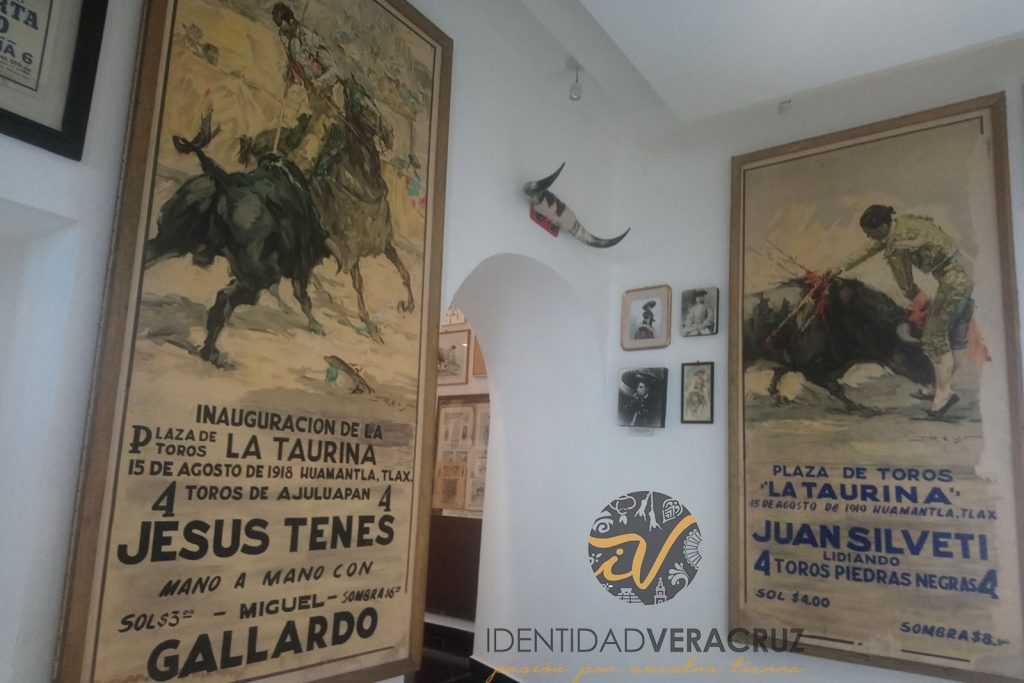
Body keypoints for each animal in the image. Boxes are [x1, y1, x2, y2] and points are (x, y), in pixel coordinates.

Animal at [145, 111, 342, 368]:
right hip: (256, 277)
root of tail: (226, 182)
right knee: (225, 299)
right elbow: (303, 296)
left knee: (149, 255)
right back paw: (212, 354)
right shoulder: (299, 266)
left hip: (171, 240)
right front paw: (315, 324)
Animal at [744, 275, 934, 415]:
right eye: (913, 351)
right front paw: (860, 408)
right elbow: (836, 388)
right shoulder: (813, 369)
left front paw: (775, 397)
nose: (932, 377)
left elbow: (778, 374)